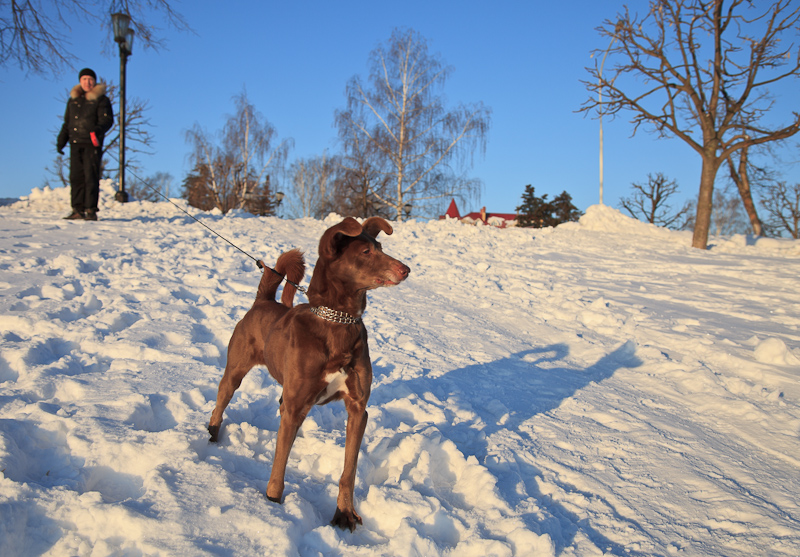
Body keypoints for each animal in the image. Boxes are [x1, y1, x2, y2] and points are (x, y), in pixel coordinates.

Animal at [208, 216, 406, 528]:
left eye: (381, 247)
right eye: (365, 252)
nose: (406, 269)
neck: (338, 322)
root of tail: (263, 301)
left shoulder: (358, 409)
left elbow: (348, 471)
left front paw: (344, 513)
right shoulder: (296, 405)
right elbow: (279, 465)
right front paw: (272, 502)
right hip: (235, 372)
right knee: (221, 401)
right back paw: (212, 434)